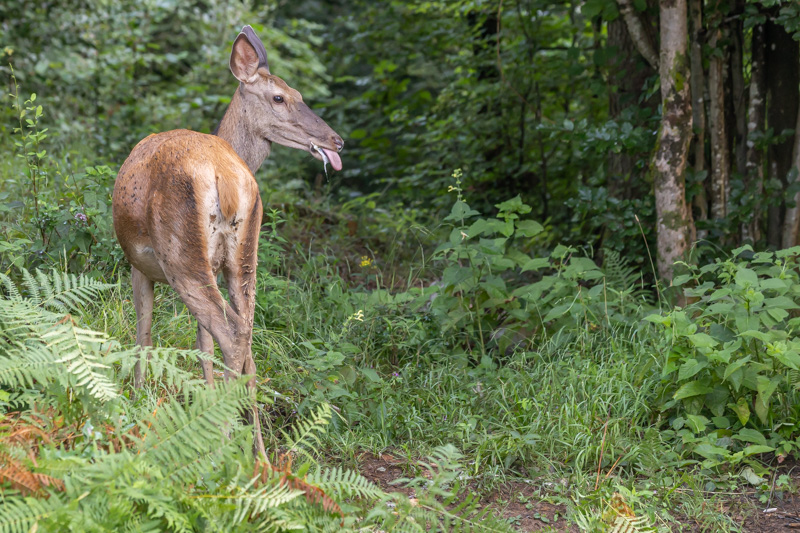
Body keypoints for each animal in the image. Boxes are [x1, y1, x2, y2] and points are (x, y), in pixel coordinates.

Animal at [111, 26, 342, 458]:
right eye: (282, 96)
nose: (336, 141)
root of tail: (225, 175)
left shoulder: (138, 265)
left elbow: (144, 334)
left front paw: (136, 401)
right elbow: (202, 345)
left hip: (179, 254)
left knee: (232, 334)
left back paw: (220, 448)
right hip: (244, 257)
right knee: (246, 337)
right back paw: (257, 454)